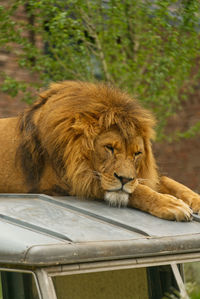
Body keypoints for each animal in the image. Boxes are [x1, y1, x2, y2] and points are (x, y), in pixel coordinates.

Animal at [0, 81, 200, 221]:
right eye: (109, 148)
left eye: (137, 154)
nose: (125, 179)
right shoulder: (69, 182)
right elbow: (137, 190)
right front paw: (171, 204)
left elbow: (163, 181)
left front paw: (195, 199)